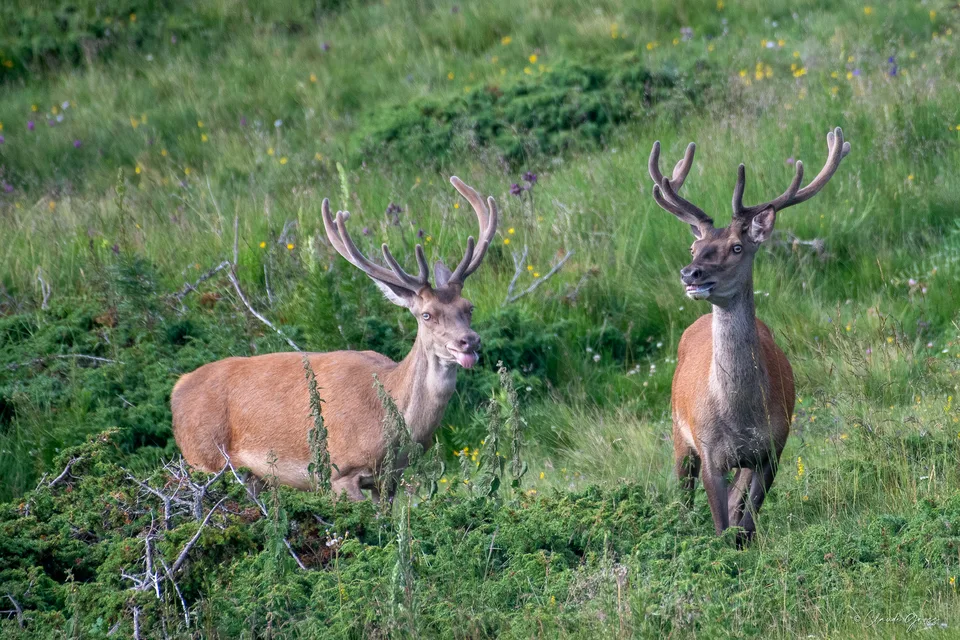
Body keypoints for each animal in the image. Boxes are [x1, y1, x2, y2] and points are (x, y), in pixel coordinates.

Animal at [171, 177, 497, 500]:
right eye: (427, 315)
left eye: (469, 307)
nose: (469, 341)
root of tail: (177, 389)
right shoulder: (341, 471)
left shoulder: (389, 479)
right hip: (204, 458)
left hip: (251, 477)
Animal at [646, 127, 851, 543]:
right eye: (695, 246)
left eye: (737, 247)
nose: (690, 273)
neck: (740, 416)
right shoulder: (709, 451)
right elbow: (722, 523)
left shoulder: (773, 448)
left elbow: (745, 523)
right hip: (678, 433)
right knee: (682, 496)